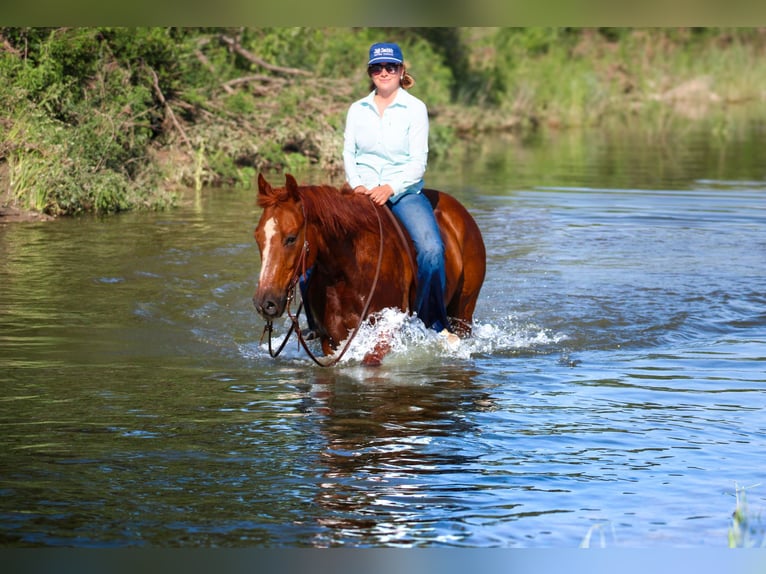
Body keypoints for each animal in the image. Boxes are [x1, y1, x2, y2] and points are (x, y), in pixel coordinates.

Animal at [256, 173, 486, 366]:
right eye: (257, 237)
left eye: (291, 238)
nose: (265, 304)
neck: (349, 272)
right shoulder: (331, 339)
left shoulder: (385, 328)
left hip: (464, 311)